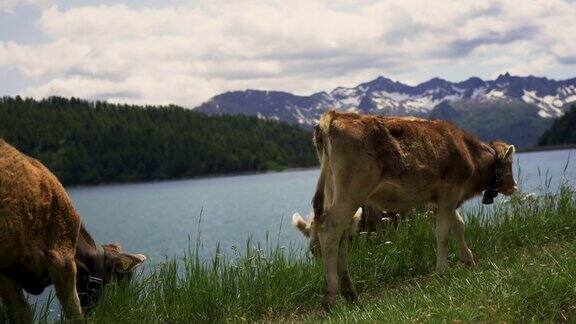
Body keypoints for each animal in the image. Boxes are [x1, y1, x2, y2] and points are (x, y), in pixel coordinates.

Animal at [1, 140, 145, 324]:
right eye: (121, 280)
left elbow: (21, 313)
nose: (125, 308)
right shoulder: (61, 258)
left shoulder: (7, 270)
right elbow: (74, 310)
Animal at [310, 110, 516, 308]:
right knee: (331, 229)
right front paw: (441, 272)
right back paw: (330, 297)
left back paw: (350, 293)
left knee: (341, 236)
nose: (514, 186)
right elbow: (443, 234)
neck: (467, 150)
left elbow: (459, 226)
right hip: (352, 191)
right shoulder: (449, 193)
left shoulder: (440, 201)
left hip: (336, 191)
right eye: (509, 165)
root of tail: (337, 115)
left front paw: (468, 261)